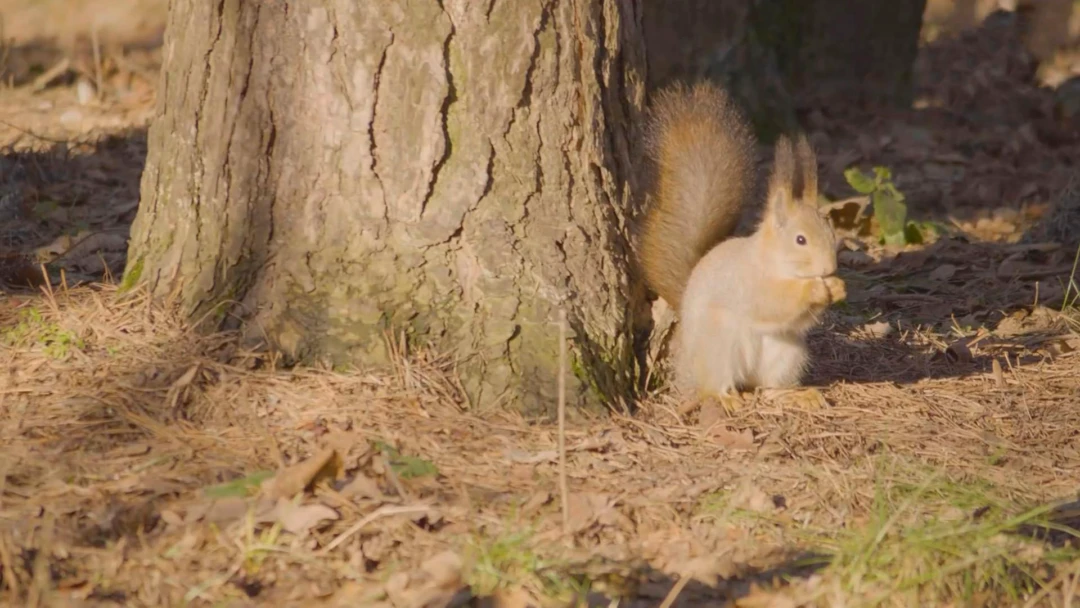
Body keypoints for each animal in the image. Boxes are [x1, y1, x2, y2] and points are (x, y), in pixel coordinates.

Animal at [639, 81, 846, 399]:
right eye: (800, 240)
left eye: (831, 232)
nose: (829, 268)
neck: (778, 266)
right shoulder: (747, 283)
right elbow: (772, 303)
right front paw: (813, 289)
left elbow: (801, 319)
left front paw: (837, 286)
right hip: (721, 344)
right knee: (715, 383)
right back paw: (726, 399)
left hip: (787, 353)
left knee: (770, 387)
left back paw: (795, 396)